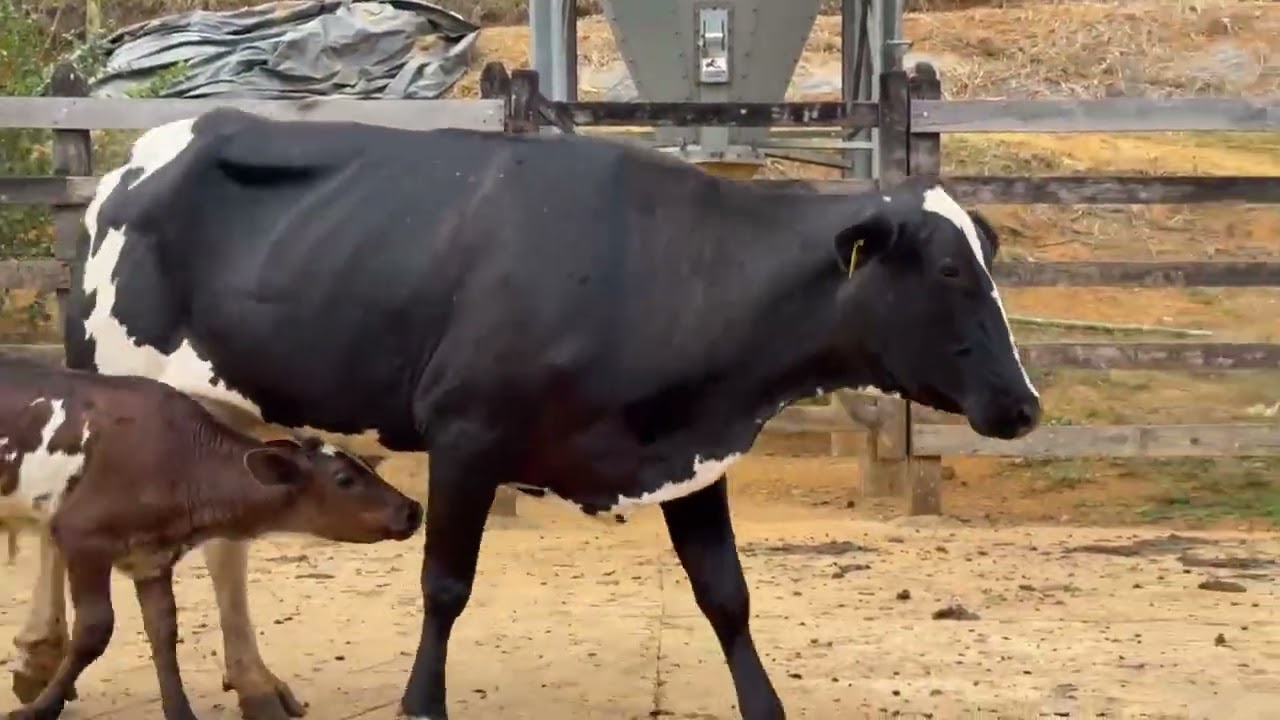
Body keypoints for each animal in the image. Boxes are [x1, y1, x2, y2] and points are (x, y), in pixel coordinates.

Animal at [0, 359, 424, 720]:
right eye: (344, 479)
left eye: (367, 467)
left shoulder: (151, 557)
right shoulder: (81, 537)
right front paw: (38, 709)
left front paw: (180, 712)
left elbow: (163, 633)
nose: (412, 509)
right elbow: (93, 631)